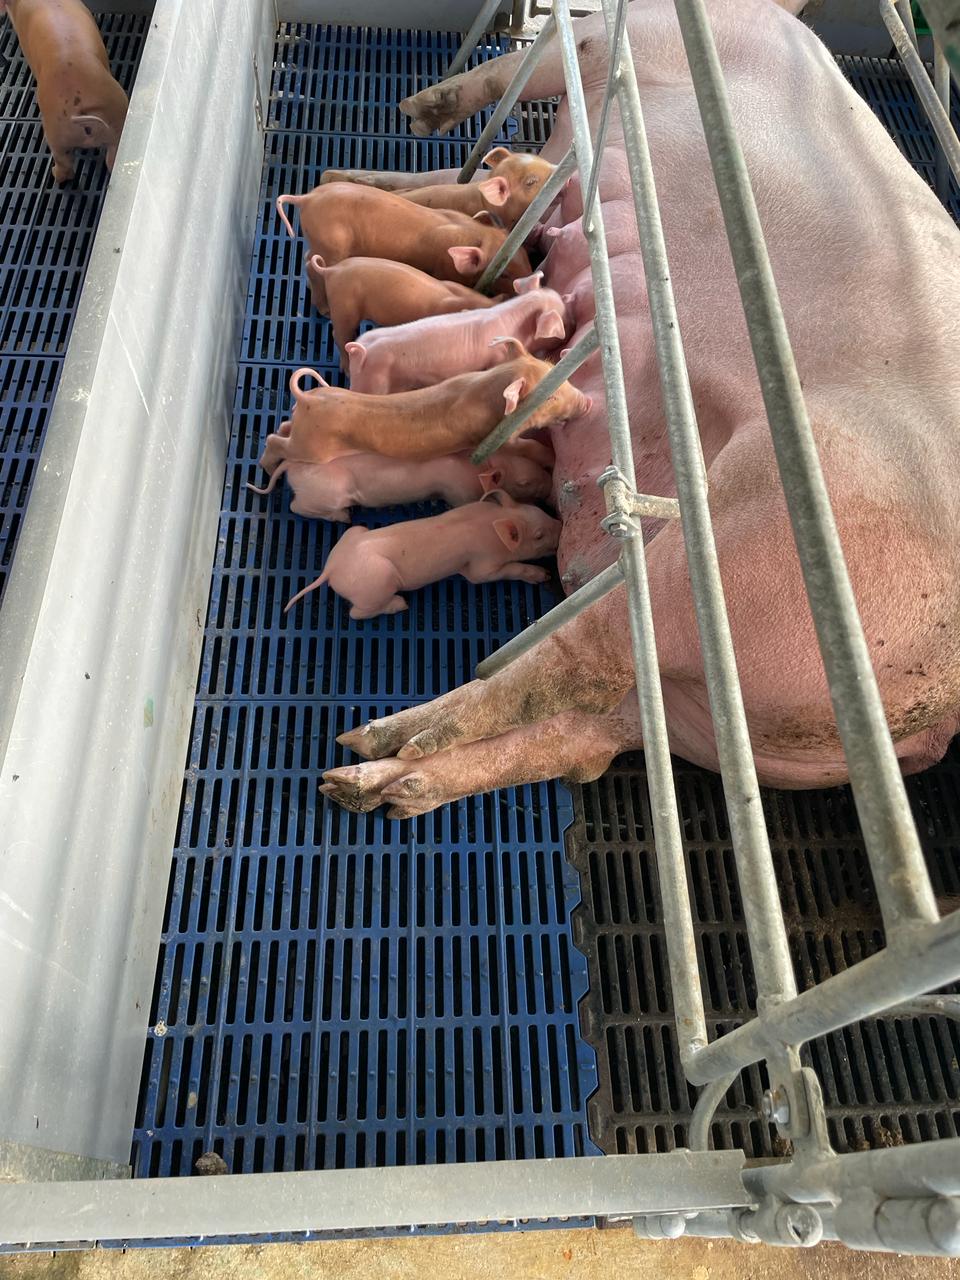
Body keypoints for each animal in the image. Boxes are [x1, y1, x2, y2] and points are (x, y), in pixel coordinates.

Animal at [2, 0, 128, 183]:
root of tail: (78, 105)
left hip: (56, 135)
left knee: (65, 168)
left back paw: (55, 173)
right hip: (115, 121)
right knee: (110, 162)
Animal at [258, 348, 591, 472]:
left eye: (552, 366)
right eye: (549, 397)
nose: (588, 403)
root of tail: (309, 399)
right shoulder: (493, 438)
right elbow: (523, 448)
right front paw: (549, 458)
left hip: (302, 427)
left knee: (283, 428)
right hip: (313, 449)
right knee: (274, 441)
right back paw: (265, 467)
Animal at [276, 183, 532, 287]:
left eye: (525, 254)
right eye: (504, 274)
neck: (474, 233)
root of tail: (307, 198)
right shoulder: (443, 269)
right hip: (332, 244)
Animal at [286, 490, 561, 620]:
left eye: (538, 510)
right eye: (538, 536)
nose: (561, 524)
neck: (491, 522)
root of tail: (331, 570)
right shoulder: (480, 566)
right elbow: (496, 573)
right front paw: (543, 575)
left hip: (355, 532)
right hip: (377, 581)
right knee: (356, 613)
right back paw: (400, 604)